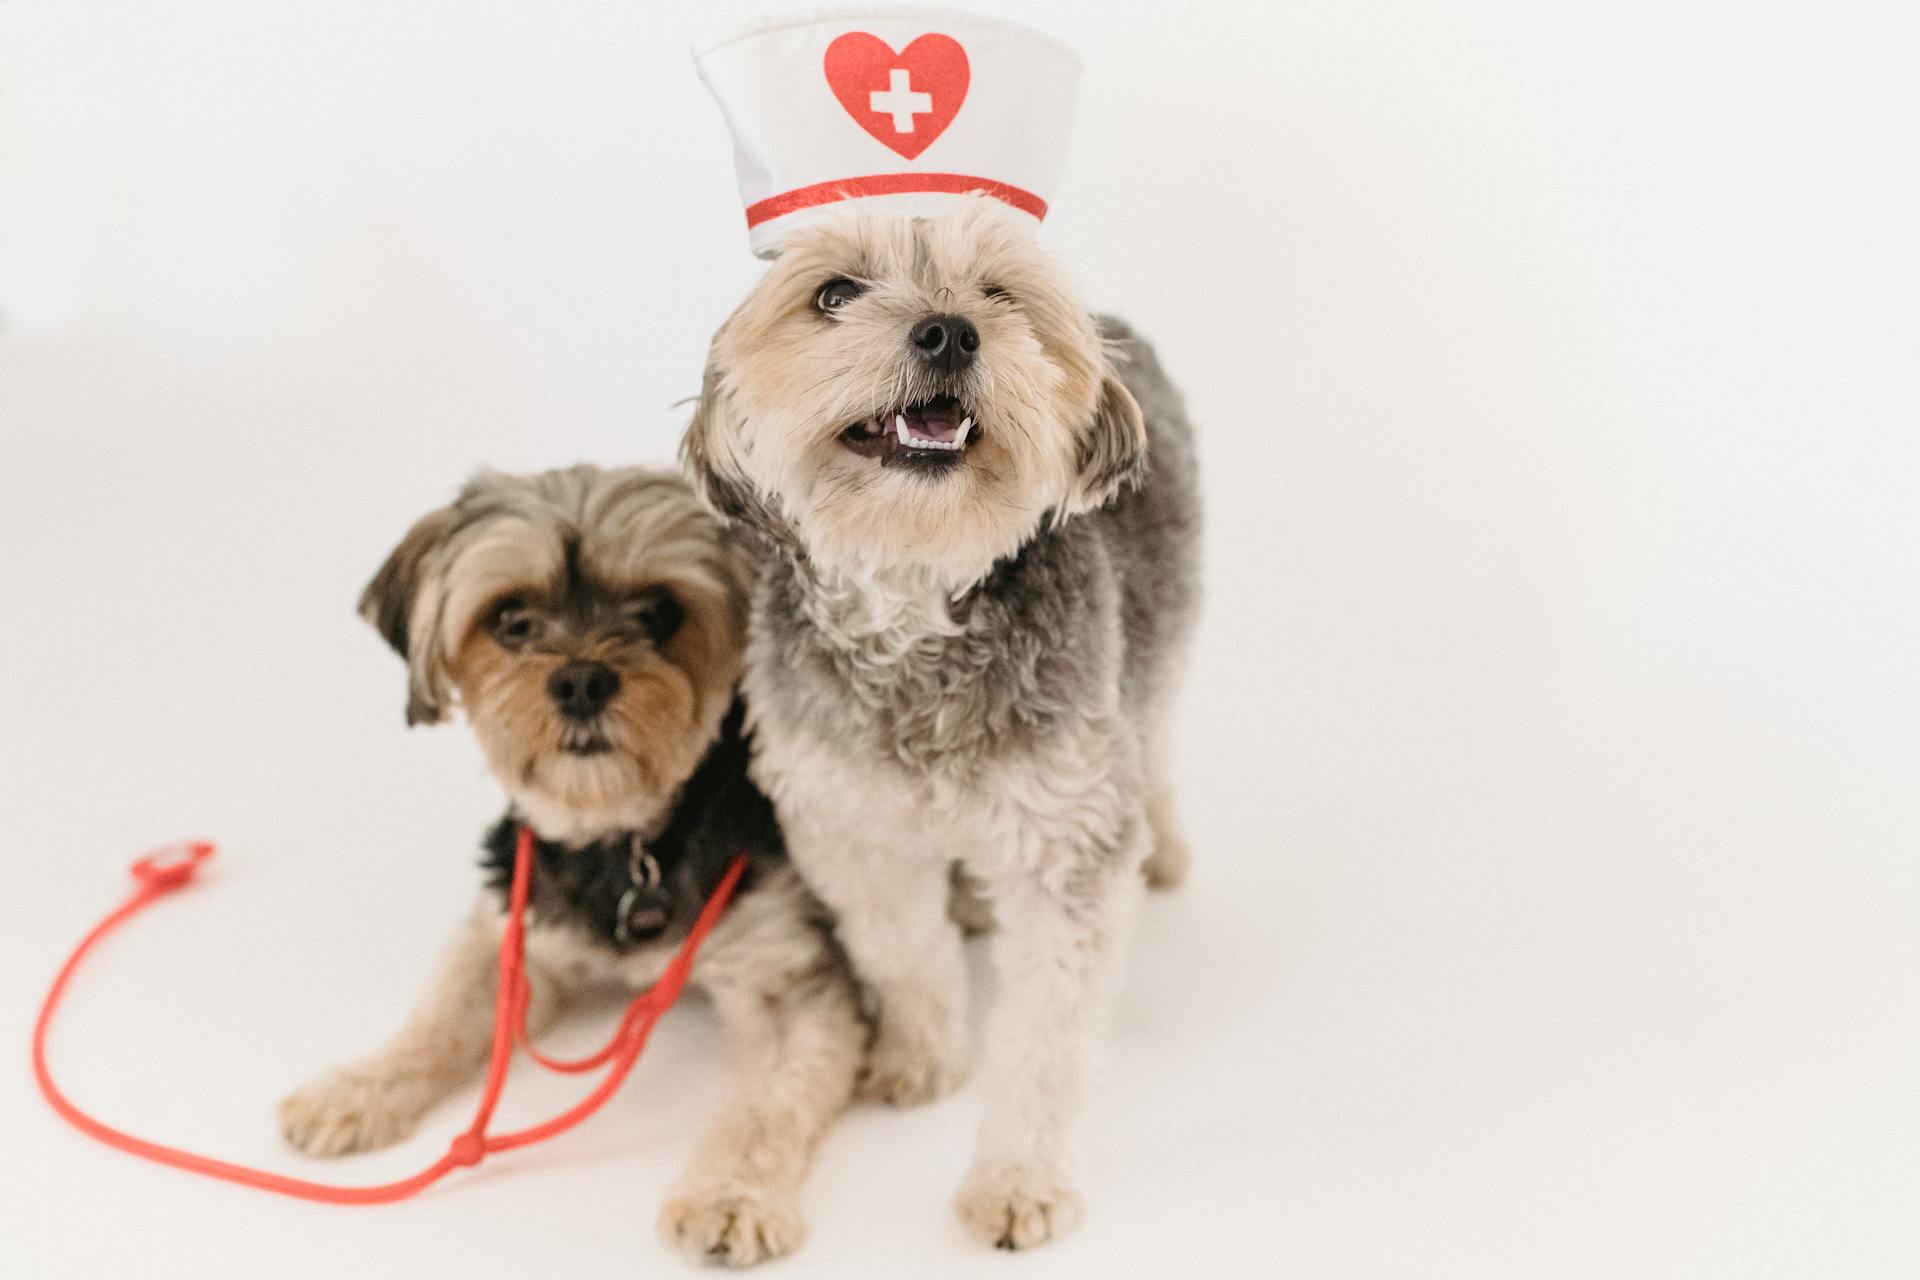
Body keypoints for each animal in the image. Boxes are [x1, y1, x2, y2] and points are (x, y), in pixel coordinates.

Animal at [276, 466, 864, 1266]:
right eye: (510, 620)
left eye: (660, 611)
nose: (582, 681)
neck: (624, 844)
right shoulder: (511, 930)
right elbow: (433, 1023)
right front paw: (357, 1090)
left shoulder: (788, 977)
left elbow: (771, 1105)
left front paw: (731, 1195)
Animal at [683, 200, 1198, 1251]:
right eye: (834, 292)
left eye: (998, 293)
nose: (950, 332)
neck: (916, 604)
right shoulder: (852, 830)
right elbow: (907, 957)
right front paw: (920, 1061)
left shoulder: (1069, 840)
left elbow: (1045, 1044)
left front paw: (1019, 1179)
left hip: (1161, 650)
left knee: (1158, 741)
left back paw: (1165, 847)